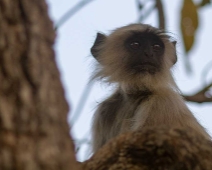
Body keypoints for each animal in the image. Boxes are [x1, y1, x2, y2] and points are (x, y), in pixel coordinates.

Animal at [89, 23, 210, 153]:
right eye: (135, 44)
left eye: (156, 47)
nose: (149, 53)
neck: (135, 96)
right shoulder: (104, 111)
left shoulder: (163, 103)